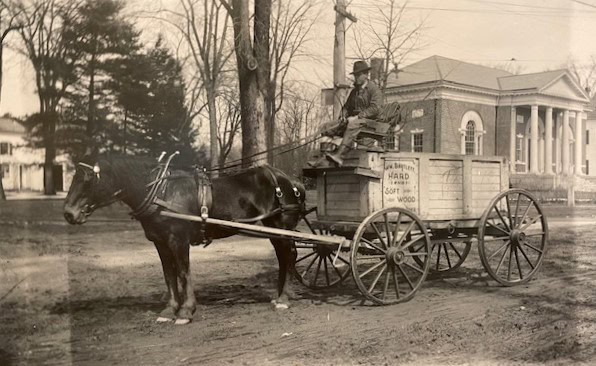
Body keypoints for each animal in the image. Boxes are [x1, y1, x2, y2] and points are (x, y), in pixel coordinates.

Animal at [62, 153, 304, 324]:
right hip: (273, 229)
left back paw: (284, 298)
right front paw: (169, 310)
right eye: (74, 176)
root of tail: (291, 180)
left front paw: (186, 311)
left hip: (282, 226)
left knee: (289, 255)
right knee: (283, 257)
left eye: (89, 179)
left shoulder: (178, 240)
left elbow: (183, 273)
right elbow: (169, 275)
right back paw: (279, 295)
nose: (68, 213)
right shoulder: (160, 243)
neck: (162, 191)